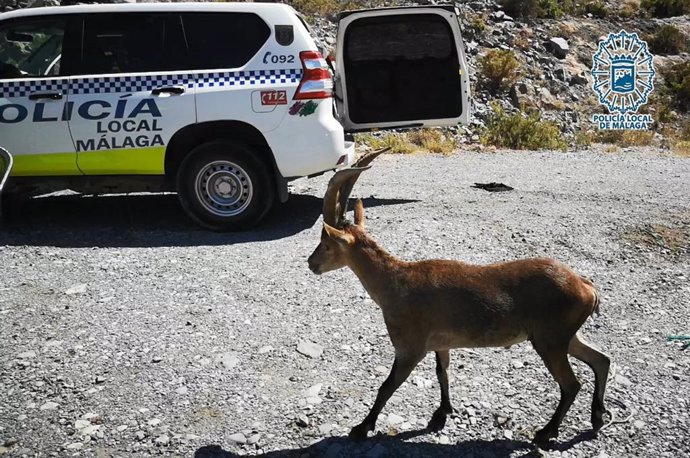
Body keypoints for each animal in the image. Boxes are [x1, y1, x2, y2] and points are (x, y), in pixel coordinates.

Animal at [310, 152, 612, 446]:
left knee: (571, 384)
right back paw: (597, 417)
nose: (311, 264)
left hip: (550, 339)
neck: (396, 284)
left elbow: (387, 386)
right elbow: (442, 372)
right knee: (601, 359)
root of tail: (585, 286)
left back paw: (547, 432)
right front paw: (442, 412)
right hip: (563, 336)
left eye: (326, 244)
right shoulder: (441, 343)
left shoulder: (409, 346)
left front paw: (362, 428)